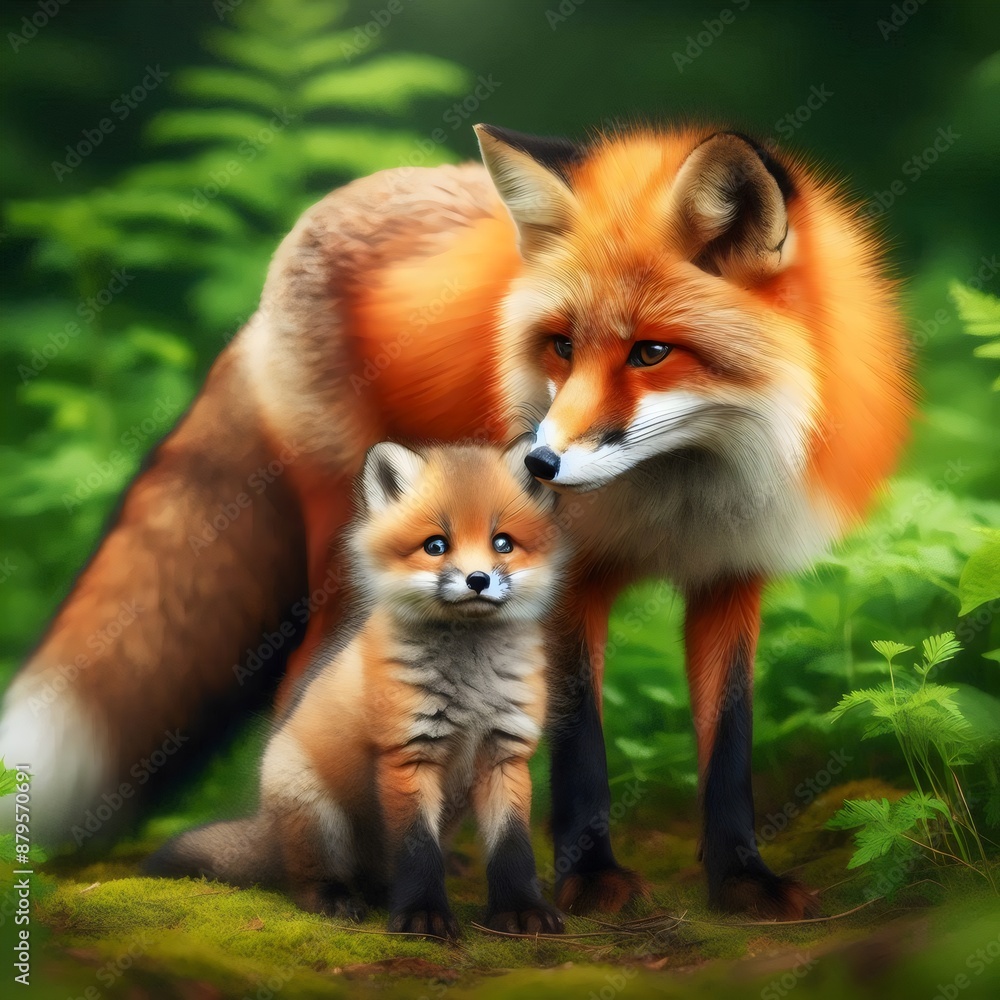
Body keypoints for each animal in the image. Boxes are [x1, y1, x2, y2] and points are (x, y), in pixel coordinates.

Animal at [145, 440, 567, 938]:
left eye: (502, 542)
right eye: (435, 546)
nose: (477, 580)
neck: (471, 689)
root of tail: (267, 824)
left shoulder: (506, 755)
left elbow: (512, 849)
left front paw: (521, 911)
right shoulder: (407, 753)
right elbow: (417, 851)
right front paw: (423, 917)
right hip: (321, 821)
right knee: (305, 883)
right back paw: (336, 899)